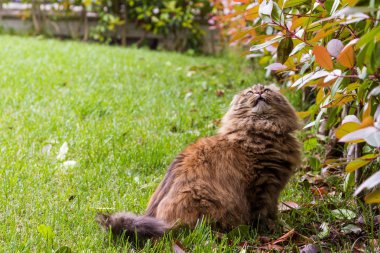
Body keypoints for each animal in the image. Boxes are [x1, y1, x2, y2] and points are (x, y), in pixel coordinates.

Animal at [96, 84, 302, 240]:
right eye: (250, 92)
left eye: (266, 89)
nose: (259, 92)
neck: (260, 131)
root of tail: (161, 223)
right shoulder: (263, 186)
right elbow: (264, 214)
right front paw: (272, 230)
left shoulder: (272, 188)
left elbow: (272, 210)